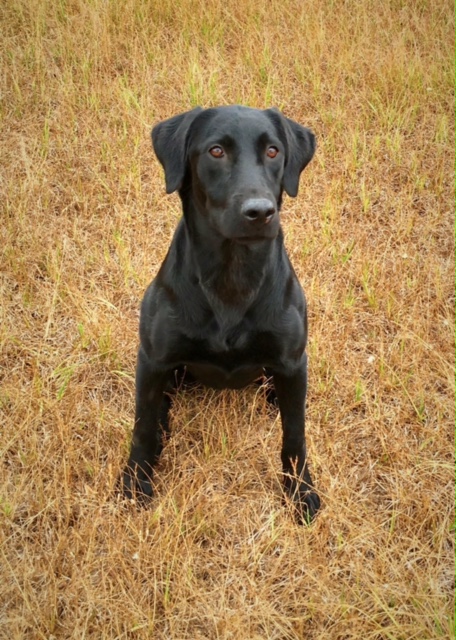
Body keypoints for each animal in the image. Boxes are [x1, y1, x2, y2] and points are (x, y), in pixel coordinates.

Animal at [121, 105, 320, 524]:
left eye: (274, 151)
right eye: (216, 151)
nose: (260, 212)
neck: (232, 273)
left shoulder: (292, 362)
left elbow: (295, 435)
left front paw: (301, 492)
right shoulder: (154, 359)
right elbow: (142, 426)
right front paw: (134, 484)